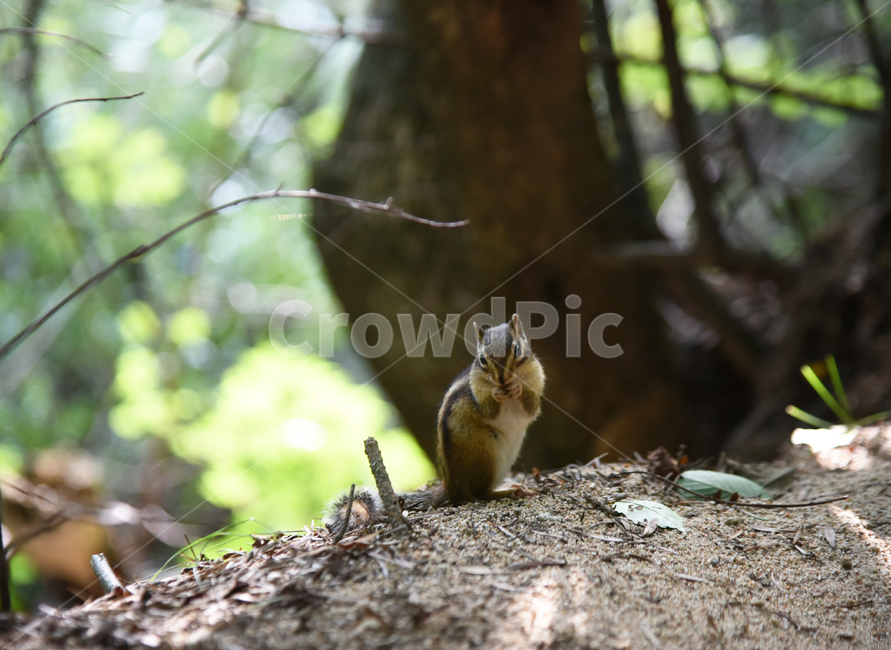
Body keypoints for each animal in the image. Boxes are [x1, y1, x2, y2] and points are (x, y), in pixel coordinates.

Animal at [436, 313, 545, 504]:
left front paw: (518, 388)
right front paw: (496, 394)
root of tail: (452, 489)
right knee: (479, 494)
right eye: (482, 359)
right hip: (486, 451)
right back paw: (512, 491)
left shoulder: (536, 383)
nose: (502, 380)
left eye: (517, 350)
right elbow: (489, 411)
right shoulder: (478, 396)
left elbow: (531, 408)